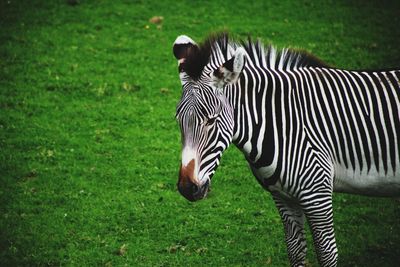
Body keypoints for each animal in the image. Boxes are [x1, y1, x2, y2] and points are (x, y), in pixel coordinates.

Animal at [173, 32, 400, 266]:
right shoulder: (283, 196)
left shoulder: (318, 194)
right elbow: (295, 250)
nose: (187, 188)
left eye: (211, 121)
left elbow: (327, 253)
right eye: (178, 120)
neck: (284, 123)